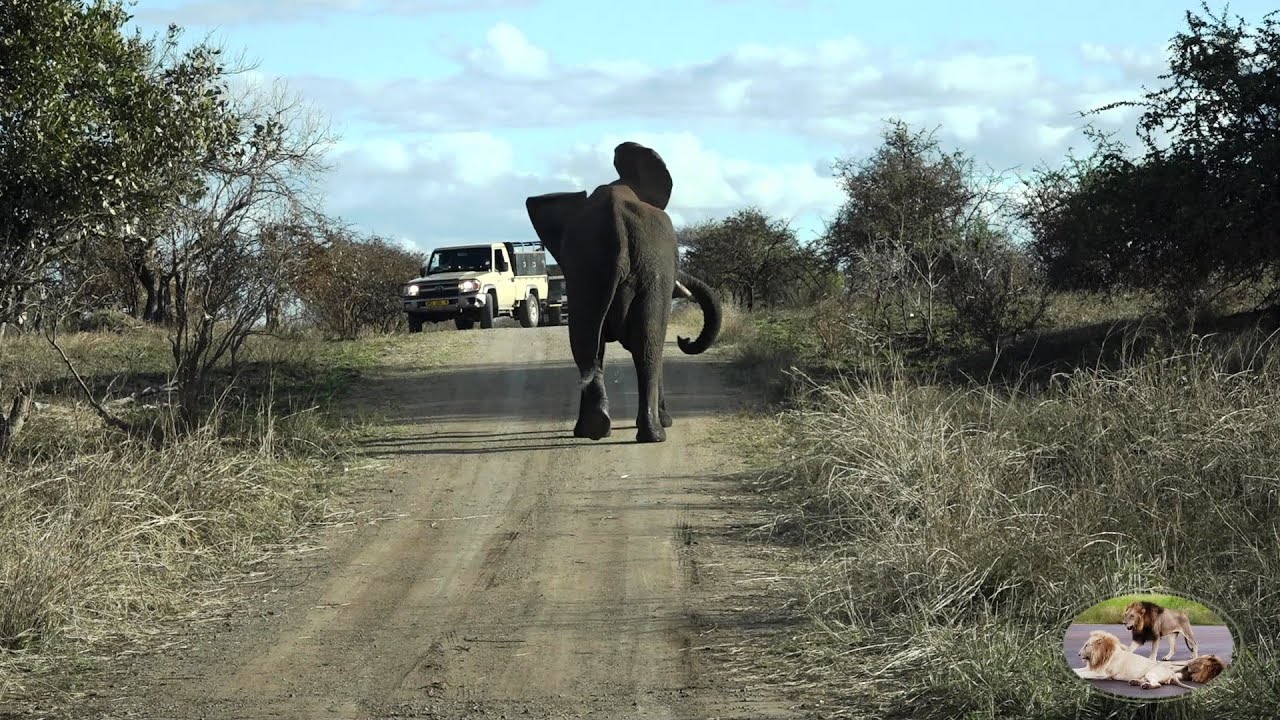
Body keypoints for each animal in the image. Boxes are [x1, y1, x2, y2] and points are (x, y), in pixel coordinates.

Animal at [524, 141, 722, 443]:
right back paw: (655, 433)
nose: (684, 339)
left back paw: (594, 430)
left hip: (588, 272)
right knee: (647, 347)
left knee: (587, 346)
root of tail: (614, 221)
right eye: (678, 259)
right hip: (646, 269)